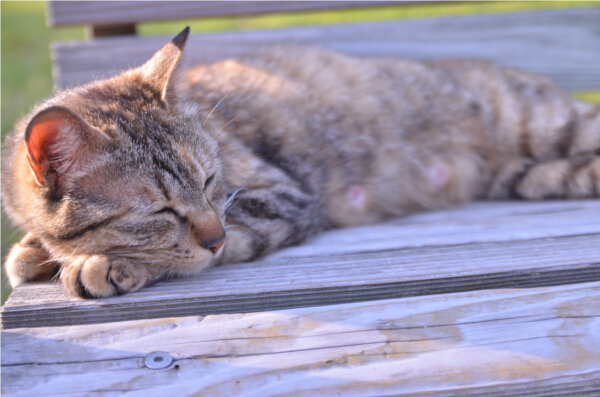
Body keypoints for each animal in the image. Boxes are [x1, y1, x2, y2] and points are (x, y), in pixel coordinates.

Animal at [4, 27, 600, 296]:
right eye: (158, 210)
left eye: (211, 180)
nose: (214, 235)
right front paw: (37, 252)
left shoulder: (284, 199)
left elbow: (201, 249)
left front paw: (104, 263)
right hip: (536, 177)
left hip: (554, 126)